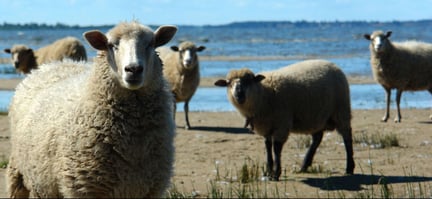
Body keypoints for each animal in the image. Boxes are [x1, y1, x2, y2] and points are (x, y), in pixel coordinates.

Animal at [7, 21, 176, 198]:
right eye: (111, 45)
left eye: (151, 44)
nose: (134, 69)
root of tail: (52, 65)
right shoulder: (82, 186)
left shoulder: (150, 189)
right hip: (23, 174)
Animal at [213, 58, 354, 180]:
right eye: (229, 83)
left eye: (249, 81)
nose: (239, 94)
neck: (264, 95)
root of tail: (332, 64)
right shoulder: (266, 126)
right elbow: (268, 146)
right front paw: (269, 171)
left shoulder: (281, 123)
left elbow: (276, 148)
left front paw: (276, 174)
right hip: (316, 116)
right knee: (317, 138)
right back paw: (304, 165)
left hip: (341, 110)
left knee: (347, 137)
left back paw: (349, 168)